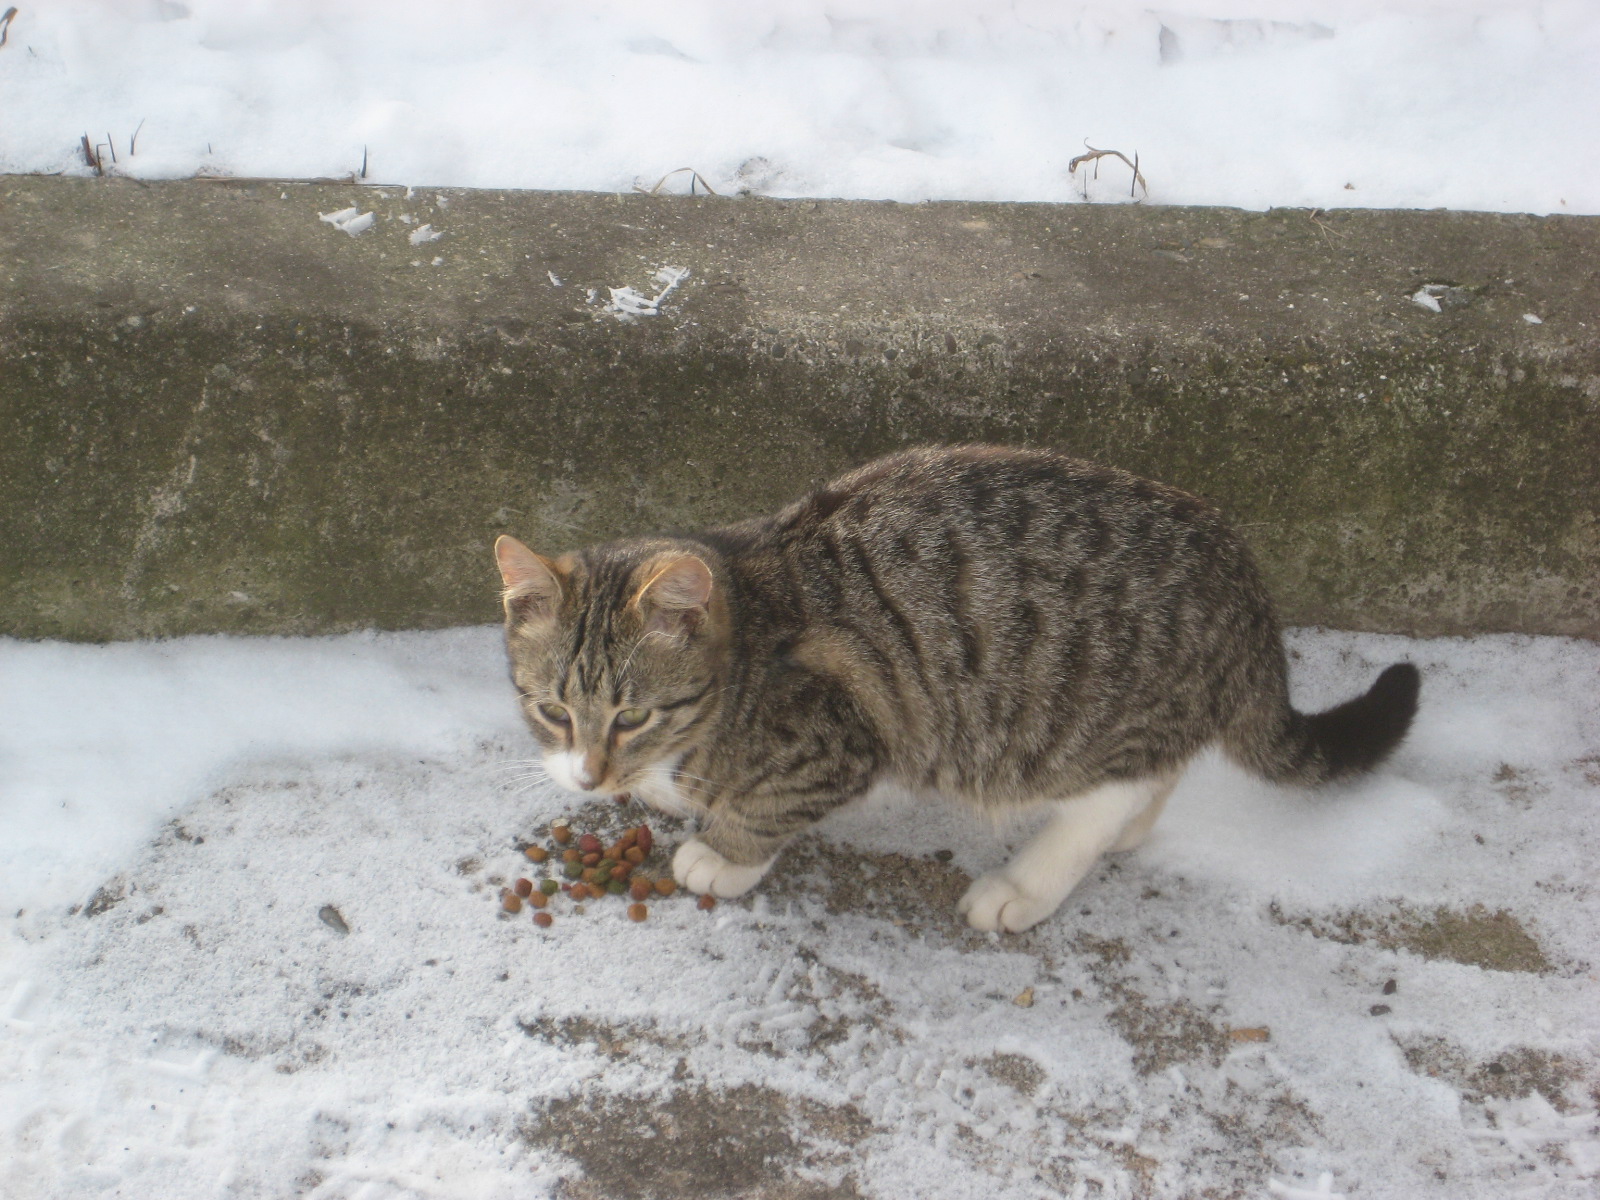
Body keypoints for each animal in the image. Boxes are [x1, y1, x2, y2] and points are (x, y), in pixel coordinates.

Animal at [492, 448, 1420, 934]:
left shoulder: (834, 737)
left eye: (633, 714)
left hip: (1071, 723)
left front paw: (722, 853)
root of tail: (1244, 583)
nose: (591, 777)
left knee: (1107, 793)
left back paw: (1027, 884)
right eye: (552, 710)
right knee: (1159, 770)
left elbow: (765, 806)